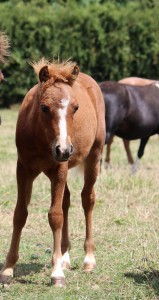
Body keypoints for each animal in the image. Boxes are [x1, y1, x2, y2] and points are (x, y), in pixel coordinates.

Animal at [0, 58, 105, 286]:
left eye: (76, 107)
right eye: (44, 107)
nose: (64, 150)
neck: (42, 138)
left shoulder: (59, 169)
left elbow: (55, 216)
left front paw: (56, 274)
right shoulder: (24, 169)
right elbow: (20, 214)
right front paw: (8, 269)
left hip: (94, 156)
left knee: (87, 199)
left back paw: (88, 259)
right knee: (66, 200)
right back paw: (65, 257)